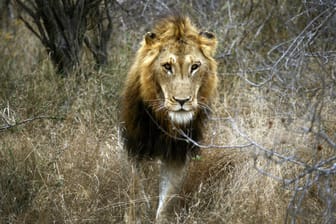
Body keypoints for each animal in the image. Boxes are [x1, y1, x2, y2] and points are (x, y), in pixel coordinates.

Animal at [121, 15, 218, 222]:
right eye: (167, 66)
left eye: (195, 66)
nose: (182, 101)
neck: (166, 121)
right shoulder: (137, 147)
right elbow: (136, 190)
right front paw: (134, 216)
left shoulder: (177, 153)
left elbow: (168, 198)